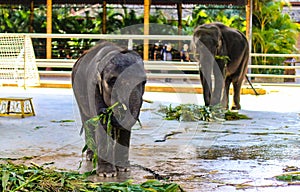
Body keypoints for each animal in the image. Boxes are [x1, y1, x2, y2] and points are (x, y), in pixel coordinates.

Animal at [72, 41, 148, 177]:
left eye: (144, 82)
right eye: (112, 81)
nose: (105, 111)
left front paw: (123, 169)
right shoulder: (93, 87)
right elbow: (102, 124)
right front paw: (107, 174)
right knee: (87, 122)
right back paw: (90, 157)